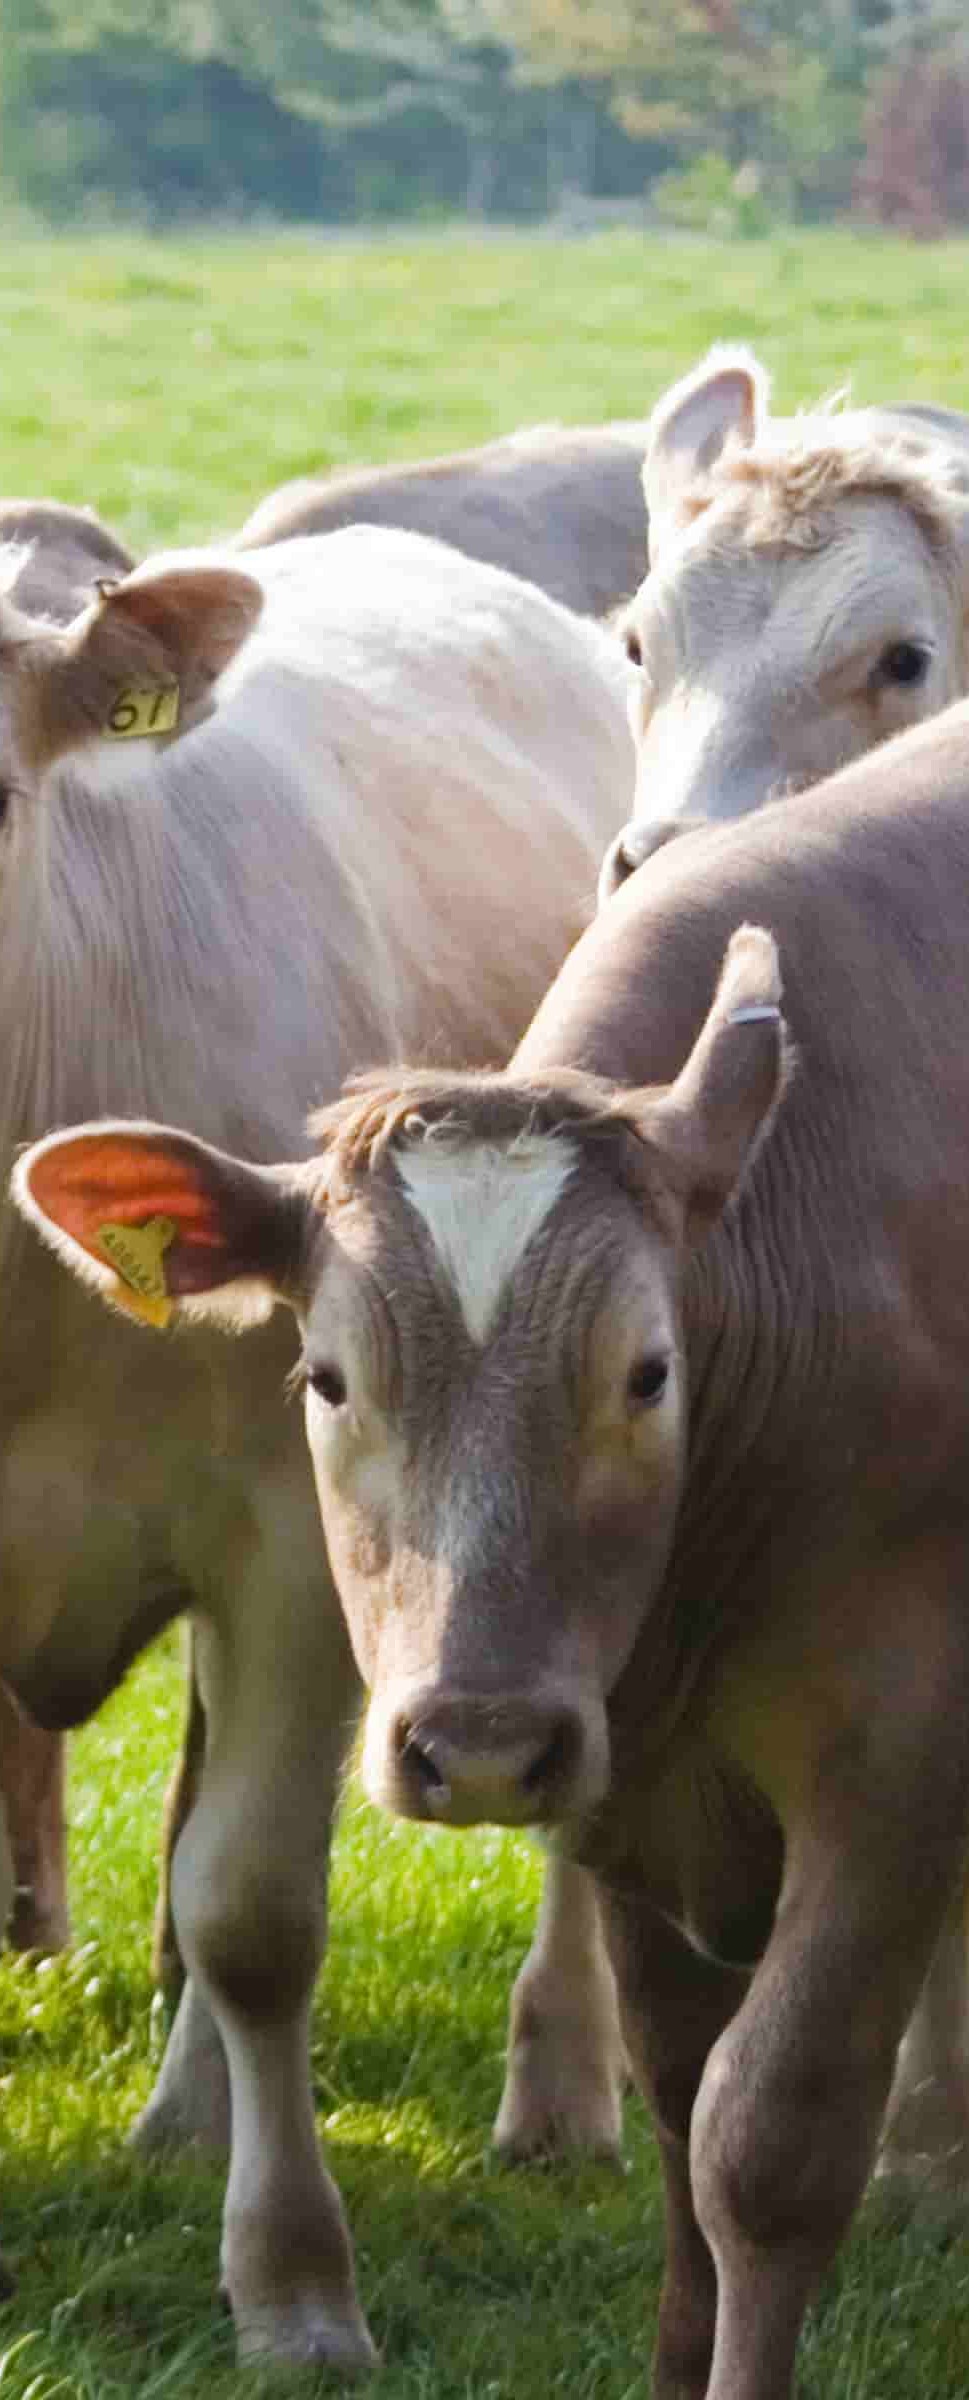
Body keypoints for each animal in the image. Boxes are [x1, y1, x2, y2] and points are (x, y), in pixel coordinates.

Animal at [43, 693, 969, 2394]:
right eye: (326, 1378)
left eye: (647, 1373)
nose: (475, 1741)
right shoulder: (633, 1768)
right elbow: (675, 2100)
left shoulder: (894, 1759)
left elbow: (768, 2139)